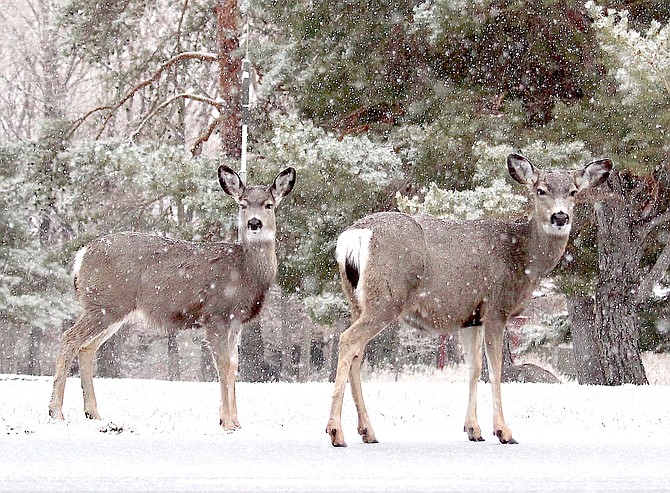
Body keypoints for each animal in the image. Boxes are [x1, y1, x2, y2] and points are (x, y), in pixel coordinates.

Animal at [48, 163, 296, 428]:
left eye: (268, 204)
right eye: (243, 204)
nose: (254, 223)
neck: (244, 270)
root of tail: (81, 256)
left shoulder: (236, 322)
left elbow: (235, 365)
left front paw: (236, 422)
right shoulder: (215, 315)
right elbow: (223, 364)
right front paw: (227, 423)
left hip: (111, 309)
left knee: (87, 348)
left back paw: (93, 413)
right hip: (104, 304)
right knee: (69, 338)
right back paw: (56, 412)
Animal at [326, 152, 616, 444]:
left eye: (573, 192)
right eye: (541, 190)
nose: (560, 216)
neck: (522, 258)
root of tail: (354, 237)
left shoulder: (470, 317)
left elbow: (474, 368)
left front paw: (473, 429)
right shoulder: (497, 308)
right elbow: (496, 369)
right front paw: (503, 431)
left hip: (357, 300)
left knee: (357, 353)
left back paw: (367, 431)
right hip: (387, 297)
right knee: (348, 340)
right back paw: (336, 431)